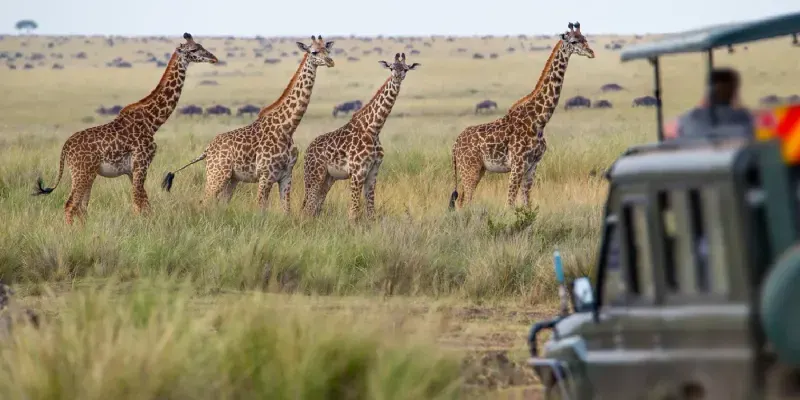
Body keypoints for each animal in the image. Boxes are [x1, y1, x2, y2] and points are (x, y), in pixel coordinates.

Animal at [33, 33, 218, 225]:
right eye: (194, 49)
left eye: (200, 45)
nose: (214, 58)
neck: (152, 122)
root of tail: (65, 148)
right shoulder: (141, 164)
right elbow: (139, 203)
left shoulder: (132, 170)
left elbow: (143, 205)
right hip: (81, 172)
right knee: (71, 205)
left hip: (87, 173)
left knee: (81, 207)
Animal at [161, 35, 335, 214]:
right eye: (314, 52)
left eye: (327, 50)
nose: (330, 61)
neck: (287, 128)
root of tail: (207, 150)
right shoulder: (265, 175)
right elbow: (261, 209)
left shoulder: (287, 175)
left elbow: (286, 210)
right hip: (216, 174)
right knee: (205, 201)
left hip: (232, 179)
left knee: (221, 203)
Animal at [301, 53, 420, 220]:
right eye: (391, 67)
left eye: (405, 69)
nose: (397, 76)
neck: (373, 128)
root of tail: (307, 151)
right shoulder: (357, 172)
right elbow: (354, 212)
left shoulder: (373, 171)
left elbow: (370, 211)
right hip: (314, 174)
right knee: (308, 208)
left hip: (328, 178)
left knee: (316, 207)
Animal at [448, 22, 594, 210]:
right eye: (574, 41)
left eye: (585, 38)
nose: (591, 52)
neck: (539, 120)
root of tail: (455, 146)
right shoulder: (517, 164)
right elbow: (509, 203)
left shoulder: (532, 165)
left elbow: (526, 203)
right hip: (470, 168)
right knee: (464, 202)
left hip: (478, 169)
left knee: (462, 200)